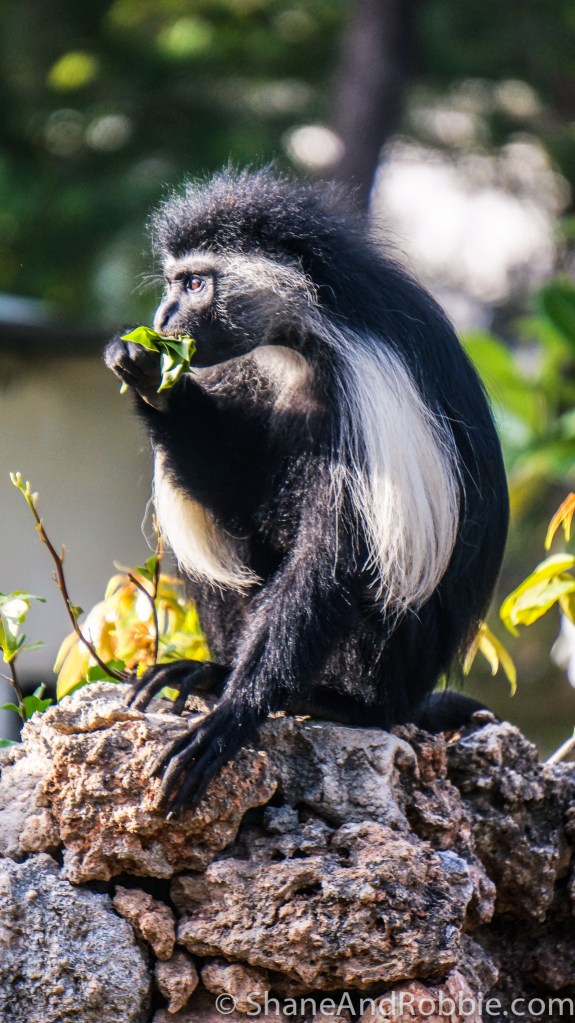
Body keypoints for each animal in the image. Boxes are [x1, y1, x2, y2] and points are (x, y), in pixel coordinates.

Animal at [104, 168, 509, 813]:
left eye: (193, 283)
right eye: (172, 283)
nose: (163, 319)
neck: (301, 338)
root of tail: (413, 693)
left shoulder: (365, 387)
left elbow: (333, 561)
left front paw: (231, 721)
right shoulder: (239, 373)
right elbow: (233, 493)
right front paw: (150, 374)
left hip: (388, 659)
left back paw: (333, 703)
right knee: (223, 565)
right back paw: (210, 673)